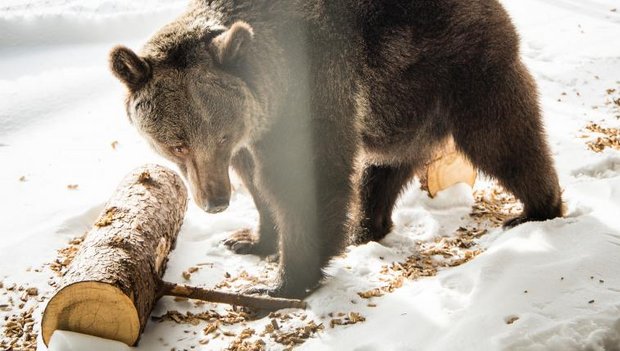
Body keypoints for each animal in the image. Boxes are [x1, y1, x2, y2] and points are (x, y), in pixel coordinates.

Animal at [109, 0, 564, 300]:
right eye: (177, 144)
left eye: (217, 136)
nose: (214, 202)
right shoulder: (253, 132)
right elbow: (257, 183)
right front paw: (251, 239)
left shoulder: (312, 92)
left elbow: (306, 179)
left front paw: (282, 282)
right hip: (399, 101)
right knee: (384, 166)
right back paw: (366, 227)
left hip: (458, 66)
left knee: (502, 137)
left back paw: (535, 209)